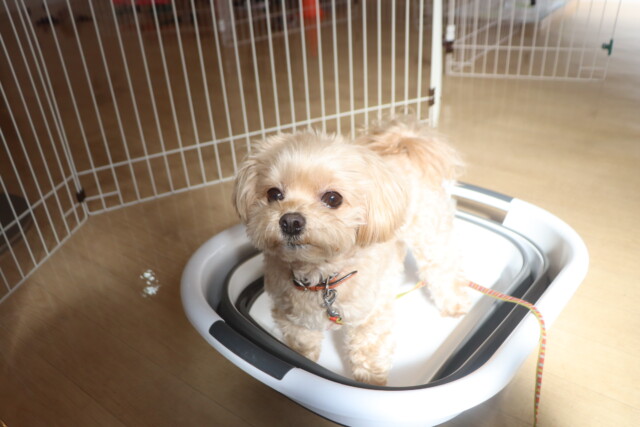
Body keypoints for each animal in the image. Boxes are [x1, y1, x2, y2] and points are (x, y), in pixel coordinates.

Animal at [232, 118, 472, 385]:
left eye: (333, 198)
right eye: (273, 194)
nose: (290, 221)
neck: (322, 277)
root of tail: (403, 143)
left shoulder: (371, 319)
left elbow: (369, 352)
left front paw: (371, 383)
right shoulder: (294, 320)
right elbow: (302, 345)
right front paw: (302, 360)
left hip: (430, 233)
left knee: (443, 267)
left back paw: (454, 302)